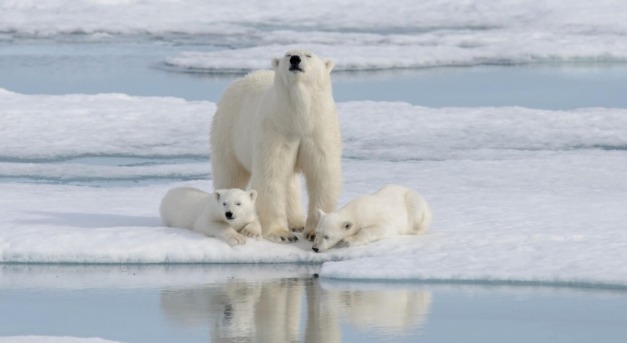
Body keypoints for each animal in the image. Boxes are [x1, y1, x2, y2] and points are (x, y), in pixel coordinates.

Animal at [210, 49, 344, 243]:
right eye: (288, 54)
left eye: (308, 55)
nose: (295, 59)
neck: (298, 119)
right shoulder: (276, 130)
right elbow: (271, 174)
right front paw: (281, 233)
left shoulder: (318, 131)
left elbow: (322, 174)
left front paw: (313, 231)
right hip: (227, 129)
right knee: (230, 172)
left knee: (290, 183)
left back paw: (297, 221)